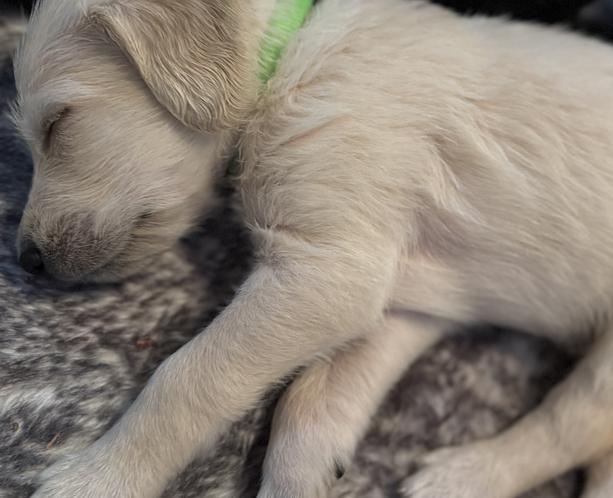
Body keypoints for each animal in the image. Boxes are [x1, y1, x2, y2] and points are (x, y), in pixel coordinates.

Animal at [11, 0, 613, 496]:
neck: (288, 60)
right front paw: (304, 473)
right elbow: (314, 397)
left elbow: (187, 377)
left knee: (571, 424)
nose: (25, 261)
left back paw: (462, 477)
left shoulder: (327, 271)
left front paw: (100, 478)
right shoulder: (402, 297)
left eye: (58, 123)